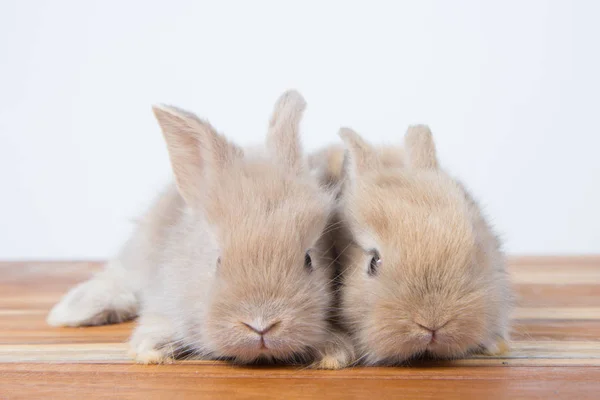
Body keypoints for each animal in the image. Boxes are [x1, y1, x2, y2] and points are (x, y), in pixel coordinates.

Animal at [49, 90, 356, 368]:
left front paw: (333, 352)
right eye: (217, 261)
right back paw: (73, 311)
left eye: (309, 260)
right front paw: (152, 349)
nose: (261, 324)